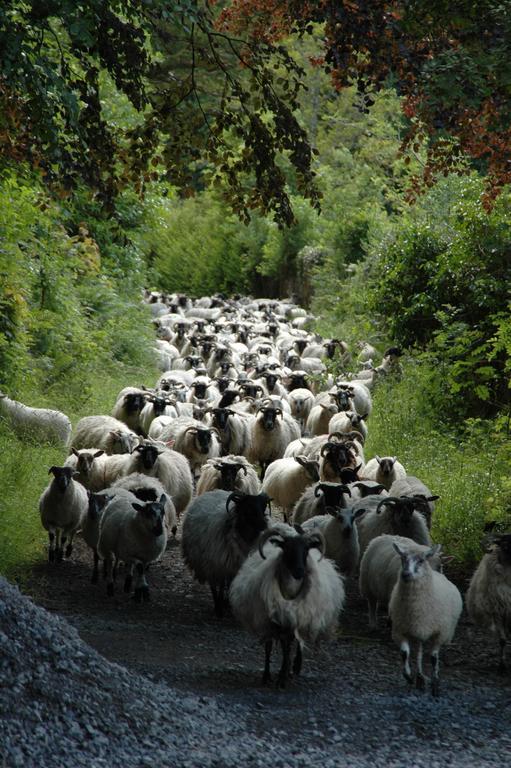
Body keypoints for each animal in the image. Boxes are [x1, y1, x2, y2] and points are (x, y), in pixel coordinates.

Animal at [231, 524, 344, 688]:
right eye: (287, 548)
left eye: (306, 549)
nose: (300, 571)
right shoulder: (273, 620)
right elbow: (276, 646)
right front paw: (270, 676)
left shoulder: (294, 617)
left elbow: (289, 645)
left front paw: (283, 676)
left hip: (304, 614)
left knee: (297, 642)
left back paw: (295, 666)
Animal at [388, 540, 464, 696]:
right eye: (402, 558)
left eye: (421, 560)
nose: (405, 574)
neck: (415, 607)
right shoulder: (399, 630)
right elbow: (404, 653)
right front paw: (408, 676)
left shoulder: (440, 633)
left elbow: (434, 658)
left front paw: (435, 683)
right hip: (418, 631)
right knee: (419, 653)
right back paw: (419, 678)